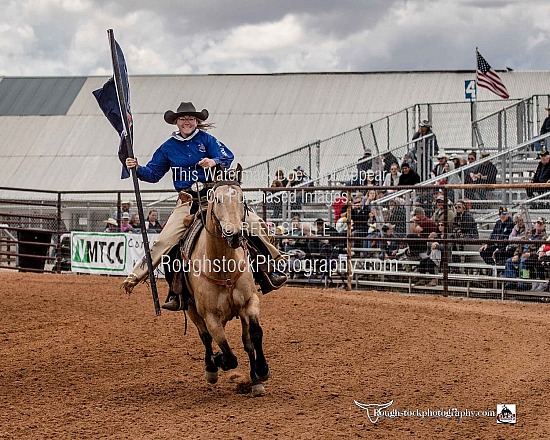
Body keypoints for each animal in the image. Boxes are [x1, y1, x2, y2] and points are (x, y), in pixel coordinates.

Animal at [170, 164, 270, 396]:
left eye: (242, 198)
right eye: (217, 199)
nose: (235, 235)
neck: (223, 266)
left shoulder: (249, 302)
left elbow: (255, 334)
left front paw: (261, 372)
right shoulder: (211, 317)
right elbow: (227, 354)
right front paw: (218, 360)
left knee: (246, 342)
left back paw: (254, 381)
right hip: (191, 308)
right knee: (205, 337)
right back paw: (211, 368)